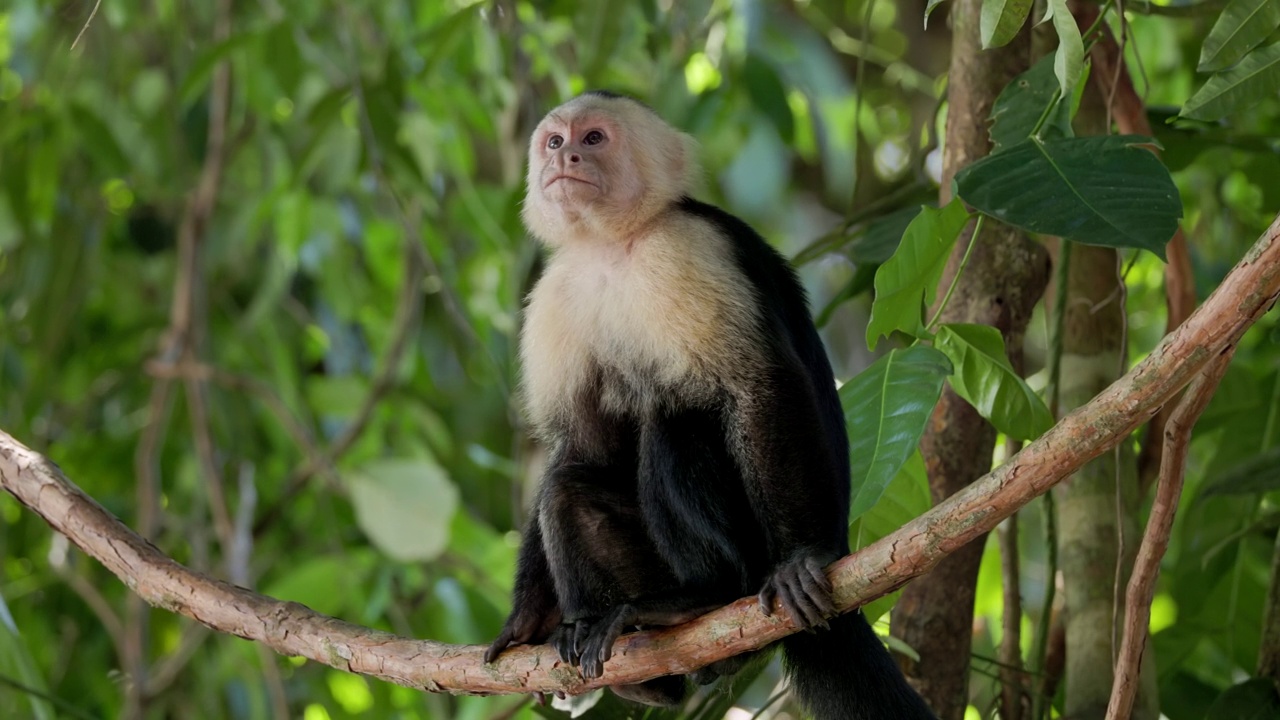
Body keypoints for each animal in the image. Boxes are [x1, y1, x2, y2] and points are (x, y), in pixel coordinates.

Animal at [483, 92, 936, 717]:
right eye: (555, 141)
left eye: (594, 138)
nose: (566, 157)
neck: (612, 248)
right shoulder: (555, 294)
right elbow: (577, 446)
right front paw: (527, 619)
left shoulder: (689, 249)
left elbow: (759, 386)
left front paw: (801, 558)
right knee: (568, 489)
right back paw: (627, 655)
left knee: (678, 419)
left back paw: (706, 596)